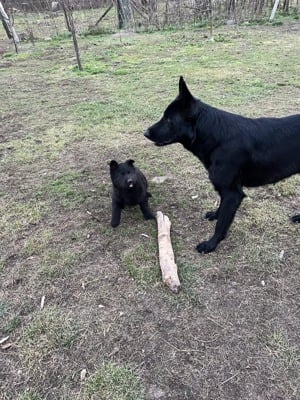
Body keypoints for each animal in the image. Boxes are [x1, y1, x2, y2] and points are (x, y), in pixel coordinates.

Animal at [144, 76, 298, 253]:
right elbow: (221, 209)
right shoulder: (224, 190)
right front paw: (215, 215)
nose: (145, 133)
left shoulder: (233, 194)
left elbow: (221, 225)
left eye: (168, 119)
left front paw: (211, 244)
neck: (216, 137)